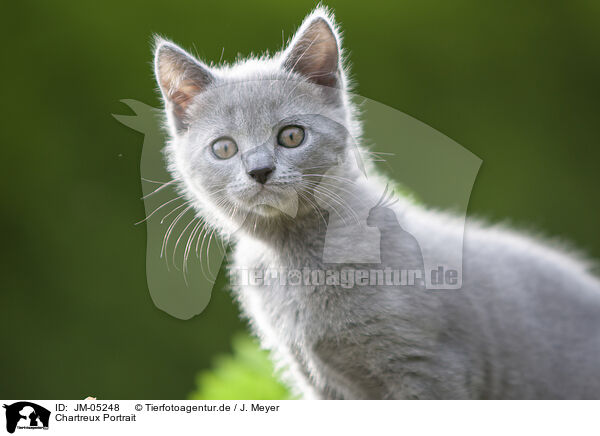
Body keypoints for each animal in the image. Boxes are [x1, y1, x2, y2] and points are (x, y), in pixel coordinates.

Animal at [154, 6, 600, 400]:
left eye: (292, 136)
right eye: (224, 148)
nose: (259, 170)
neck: (296, 255)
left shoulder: (428, 368)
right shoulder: (321, 386)